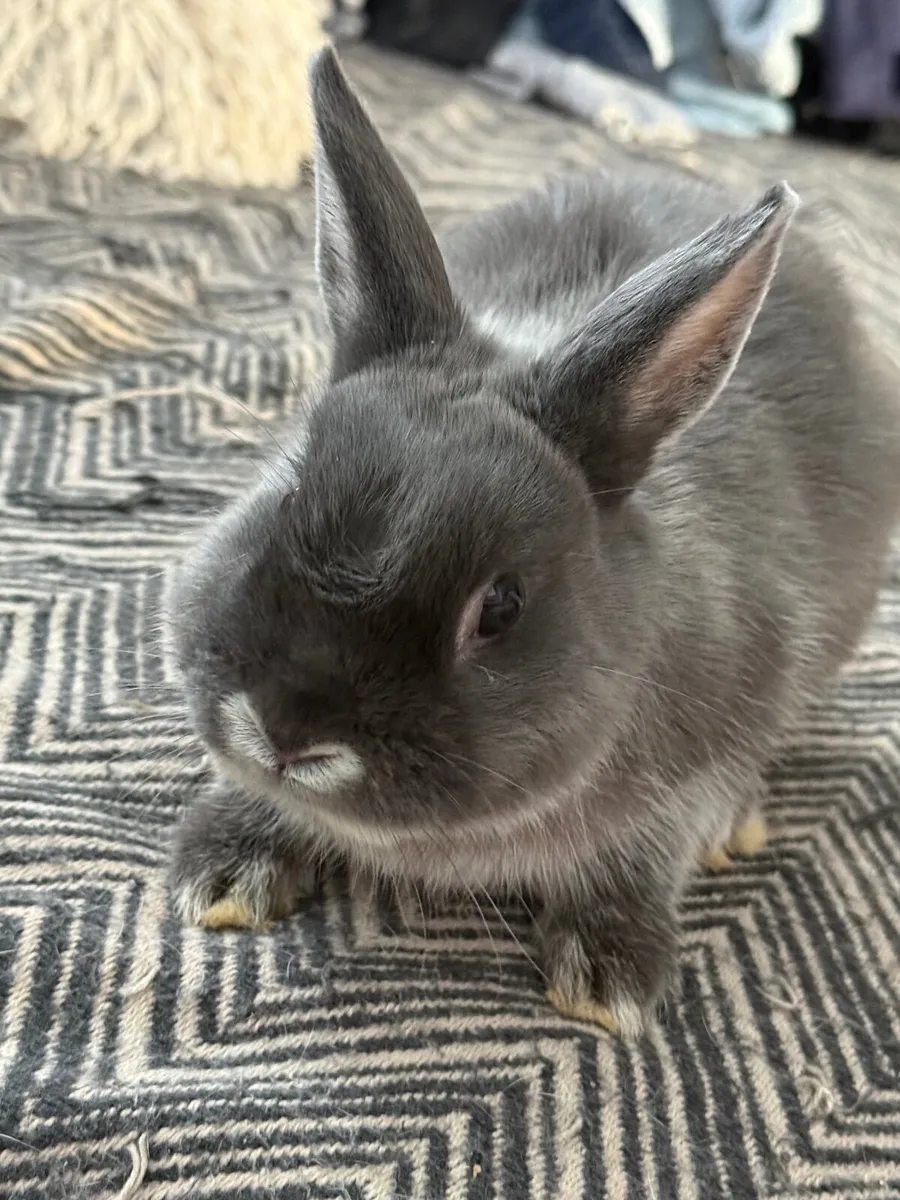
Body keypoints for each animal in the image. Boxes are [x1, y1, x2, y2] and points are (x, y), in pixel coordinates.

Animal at [167, 46, 900, 1038]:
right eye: (283, 492)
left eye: (502, 605)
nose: (287, 730)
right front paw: (223, 872)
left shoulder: (711, 744)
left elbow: (651, 848)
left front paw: (608, 973)